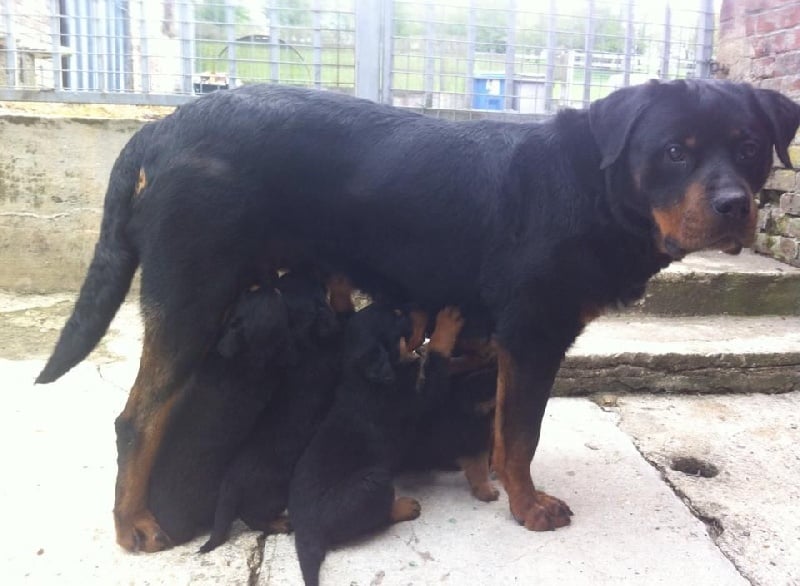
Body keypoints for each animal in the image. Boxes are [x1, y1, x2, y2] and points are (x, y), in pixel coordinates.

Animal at [36, 77, 800, 548]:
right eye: (674, 152)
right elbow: (520, 433)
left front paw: (490, 481)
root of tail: (163, 129)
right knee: (137, 418)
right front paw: (528, 507)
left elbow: (496, 427)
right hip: (192, 294)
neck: (596, 187)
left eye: (750, 148)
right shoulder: (534, 333)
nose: (734, 206)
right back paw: (133, 522)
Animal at [288, 304, 462, 580]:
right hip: (374, 481)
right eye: (397, 312)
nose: (421, 310)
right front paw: (447, 324)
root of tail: (304, 529)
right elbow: (435, 367)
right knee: (375, 517)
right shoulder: (412, 399)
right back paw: (403, 507)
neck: (362, 378)